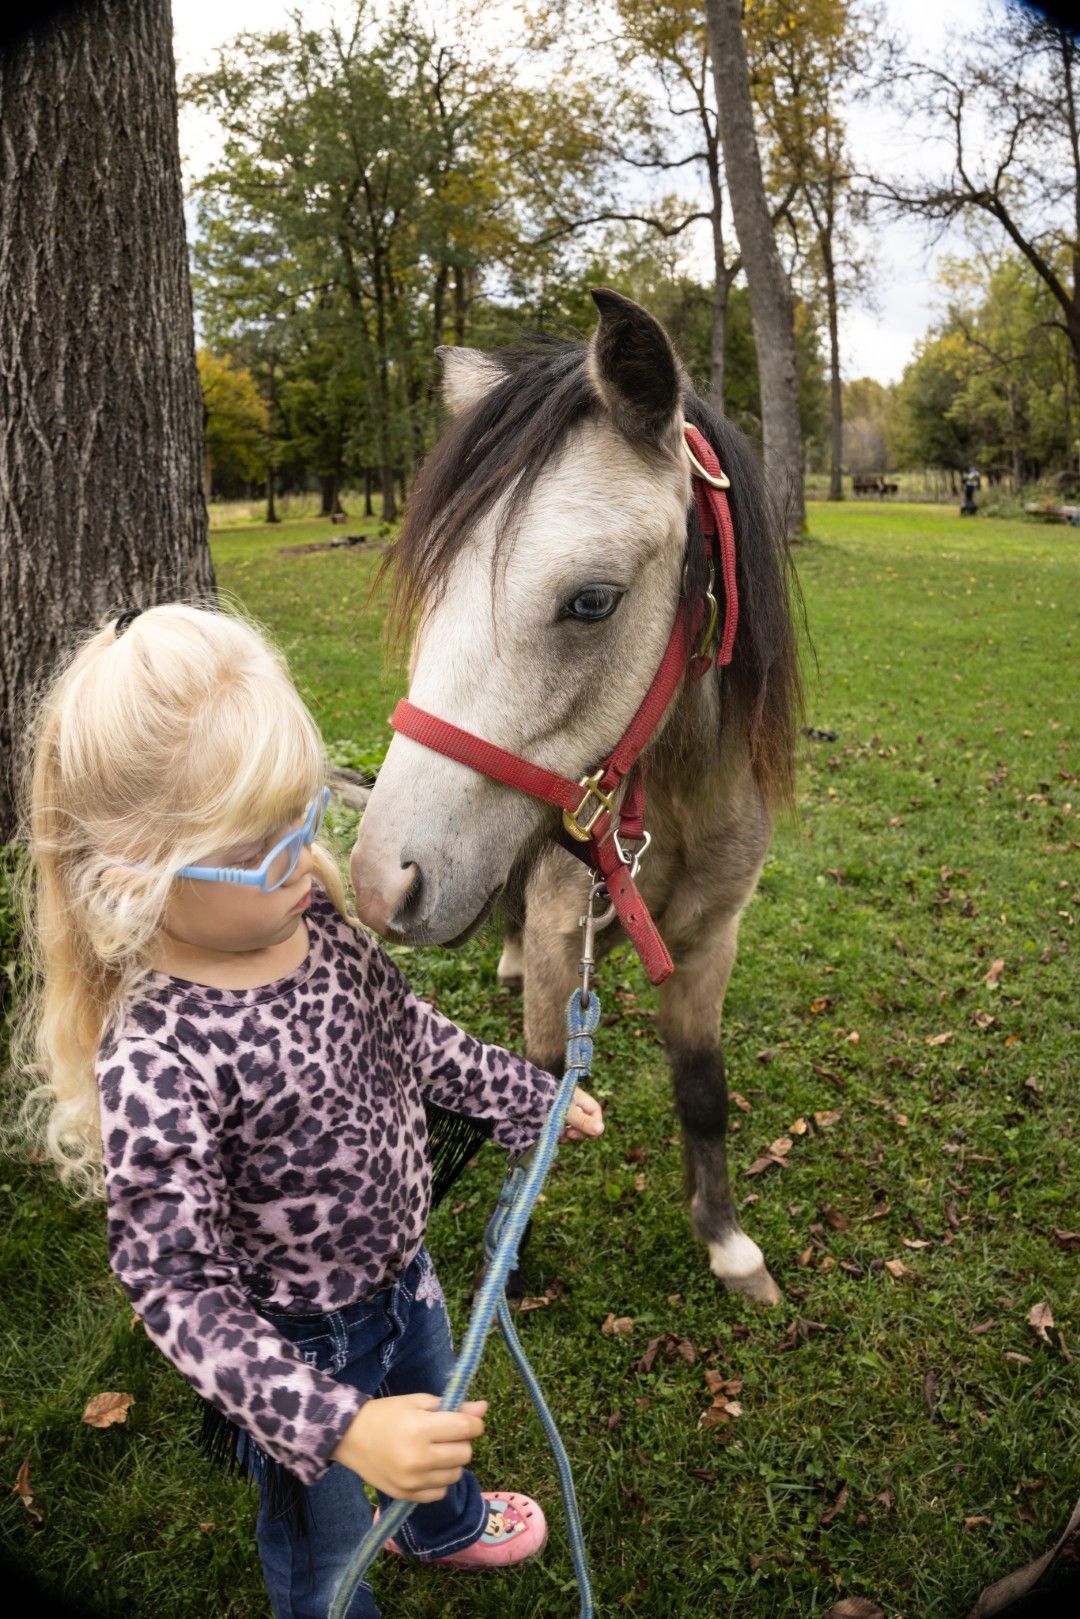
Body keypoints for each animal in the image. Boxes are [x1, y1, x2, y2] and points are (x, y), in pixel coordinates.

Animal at [349, 289, 801, 1305]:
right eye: (433, 590)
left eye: (592, 601)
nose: (381, 882)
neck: (674, 807)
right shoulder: (567, 941)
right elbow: (539, 1083)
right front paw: (507, 1262)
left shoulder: (714, 943)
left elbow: (704, 1088)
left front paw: (727, 1242)